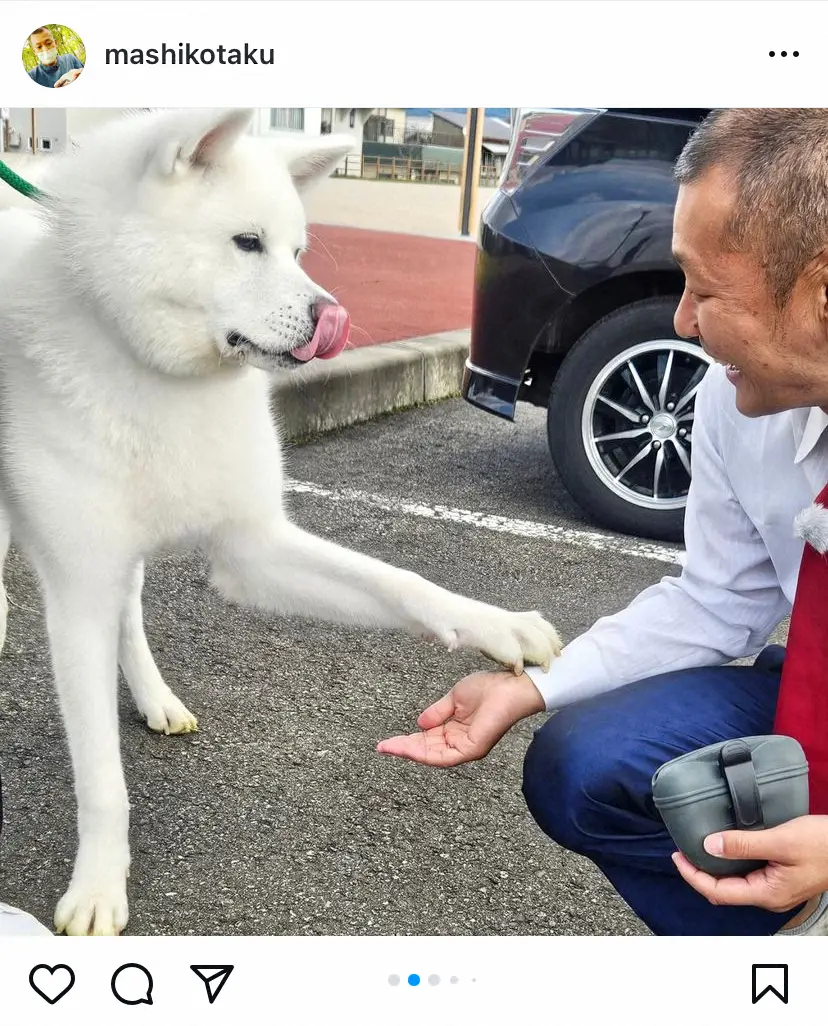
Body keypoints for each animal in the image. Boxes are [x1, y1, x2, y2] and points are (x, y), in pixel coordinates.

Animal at [0, 108, 562, 935]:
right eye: (247, 243)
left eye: (298, 251)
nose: (335, 318)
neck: (158, 374)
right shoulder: (78, 592)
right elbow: (101, 777)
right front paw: (98, 887)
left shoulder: (253, 550)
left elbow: (403, 583)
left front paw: (499, 625)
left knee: (132, 611)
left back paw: (156, 698)